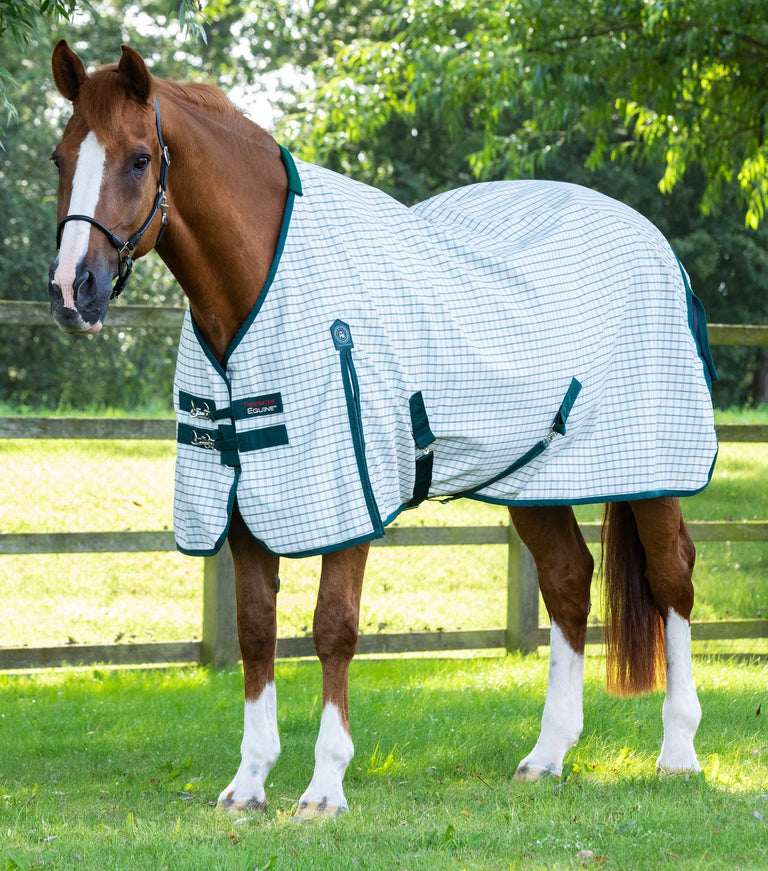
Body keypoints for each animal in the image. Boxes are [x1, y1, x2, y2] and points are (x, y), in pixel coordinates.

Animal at [47, 41, 717, 817]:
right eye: (62, 157)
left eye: (136, 159)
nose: (72, 291)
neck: (261, 288)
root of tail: (654, 243)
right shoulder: (244, 501)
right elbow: (255, 630)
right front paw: (249, 783)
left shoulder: (348, 500)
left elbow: (333, 627)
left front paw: (324, 787)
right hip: (532, 478)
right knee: (568, 580)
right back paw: (548, 754)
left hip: (654, 469)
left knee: (672, 577)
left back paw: (679, 750)